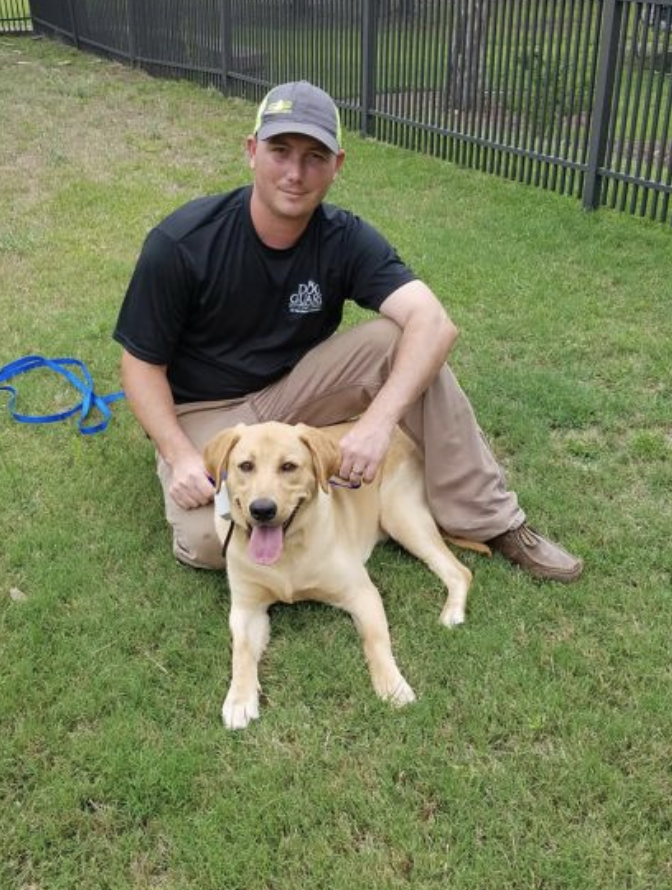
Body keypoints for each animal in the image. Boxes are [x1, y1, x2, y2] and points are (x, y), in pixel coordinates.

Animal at [205, 420, 472, 724]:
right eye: (246, 466)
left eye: (288, 466)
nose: (262, 509)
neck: (288, 553)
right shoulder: (246, 609)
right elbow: (241, 651)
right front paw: (239, 699)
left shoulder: (362, 593)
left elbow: (375, 640)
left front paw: (392, 684)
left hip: (400, 515)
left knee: (460, 571)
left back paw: (452, 612)